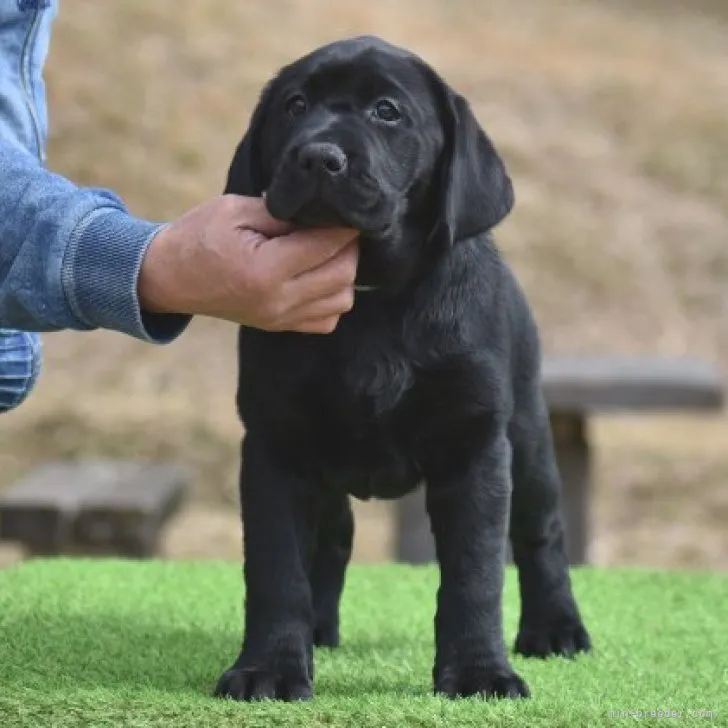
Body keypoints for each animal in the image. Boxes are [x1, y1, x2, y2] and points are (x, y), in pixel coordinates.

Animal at [216, 35, 592, 704]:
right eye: (294, 105)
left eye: (387, 112)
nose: (317, 156)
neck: (370, 299)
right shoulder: (274, 446)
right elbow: (276, 570)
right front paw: (268, 669)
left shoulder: (474, 447)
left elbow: (474, 577)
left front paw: (479, 673)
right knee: (333, 538)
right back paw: (318, 631)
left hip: (527, 432)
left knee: (541, 531)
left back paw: (555, 629)